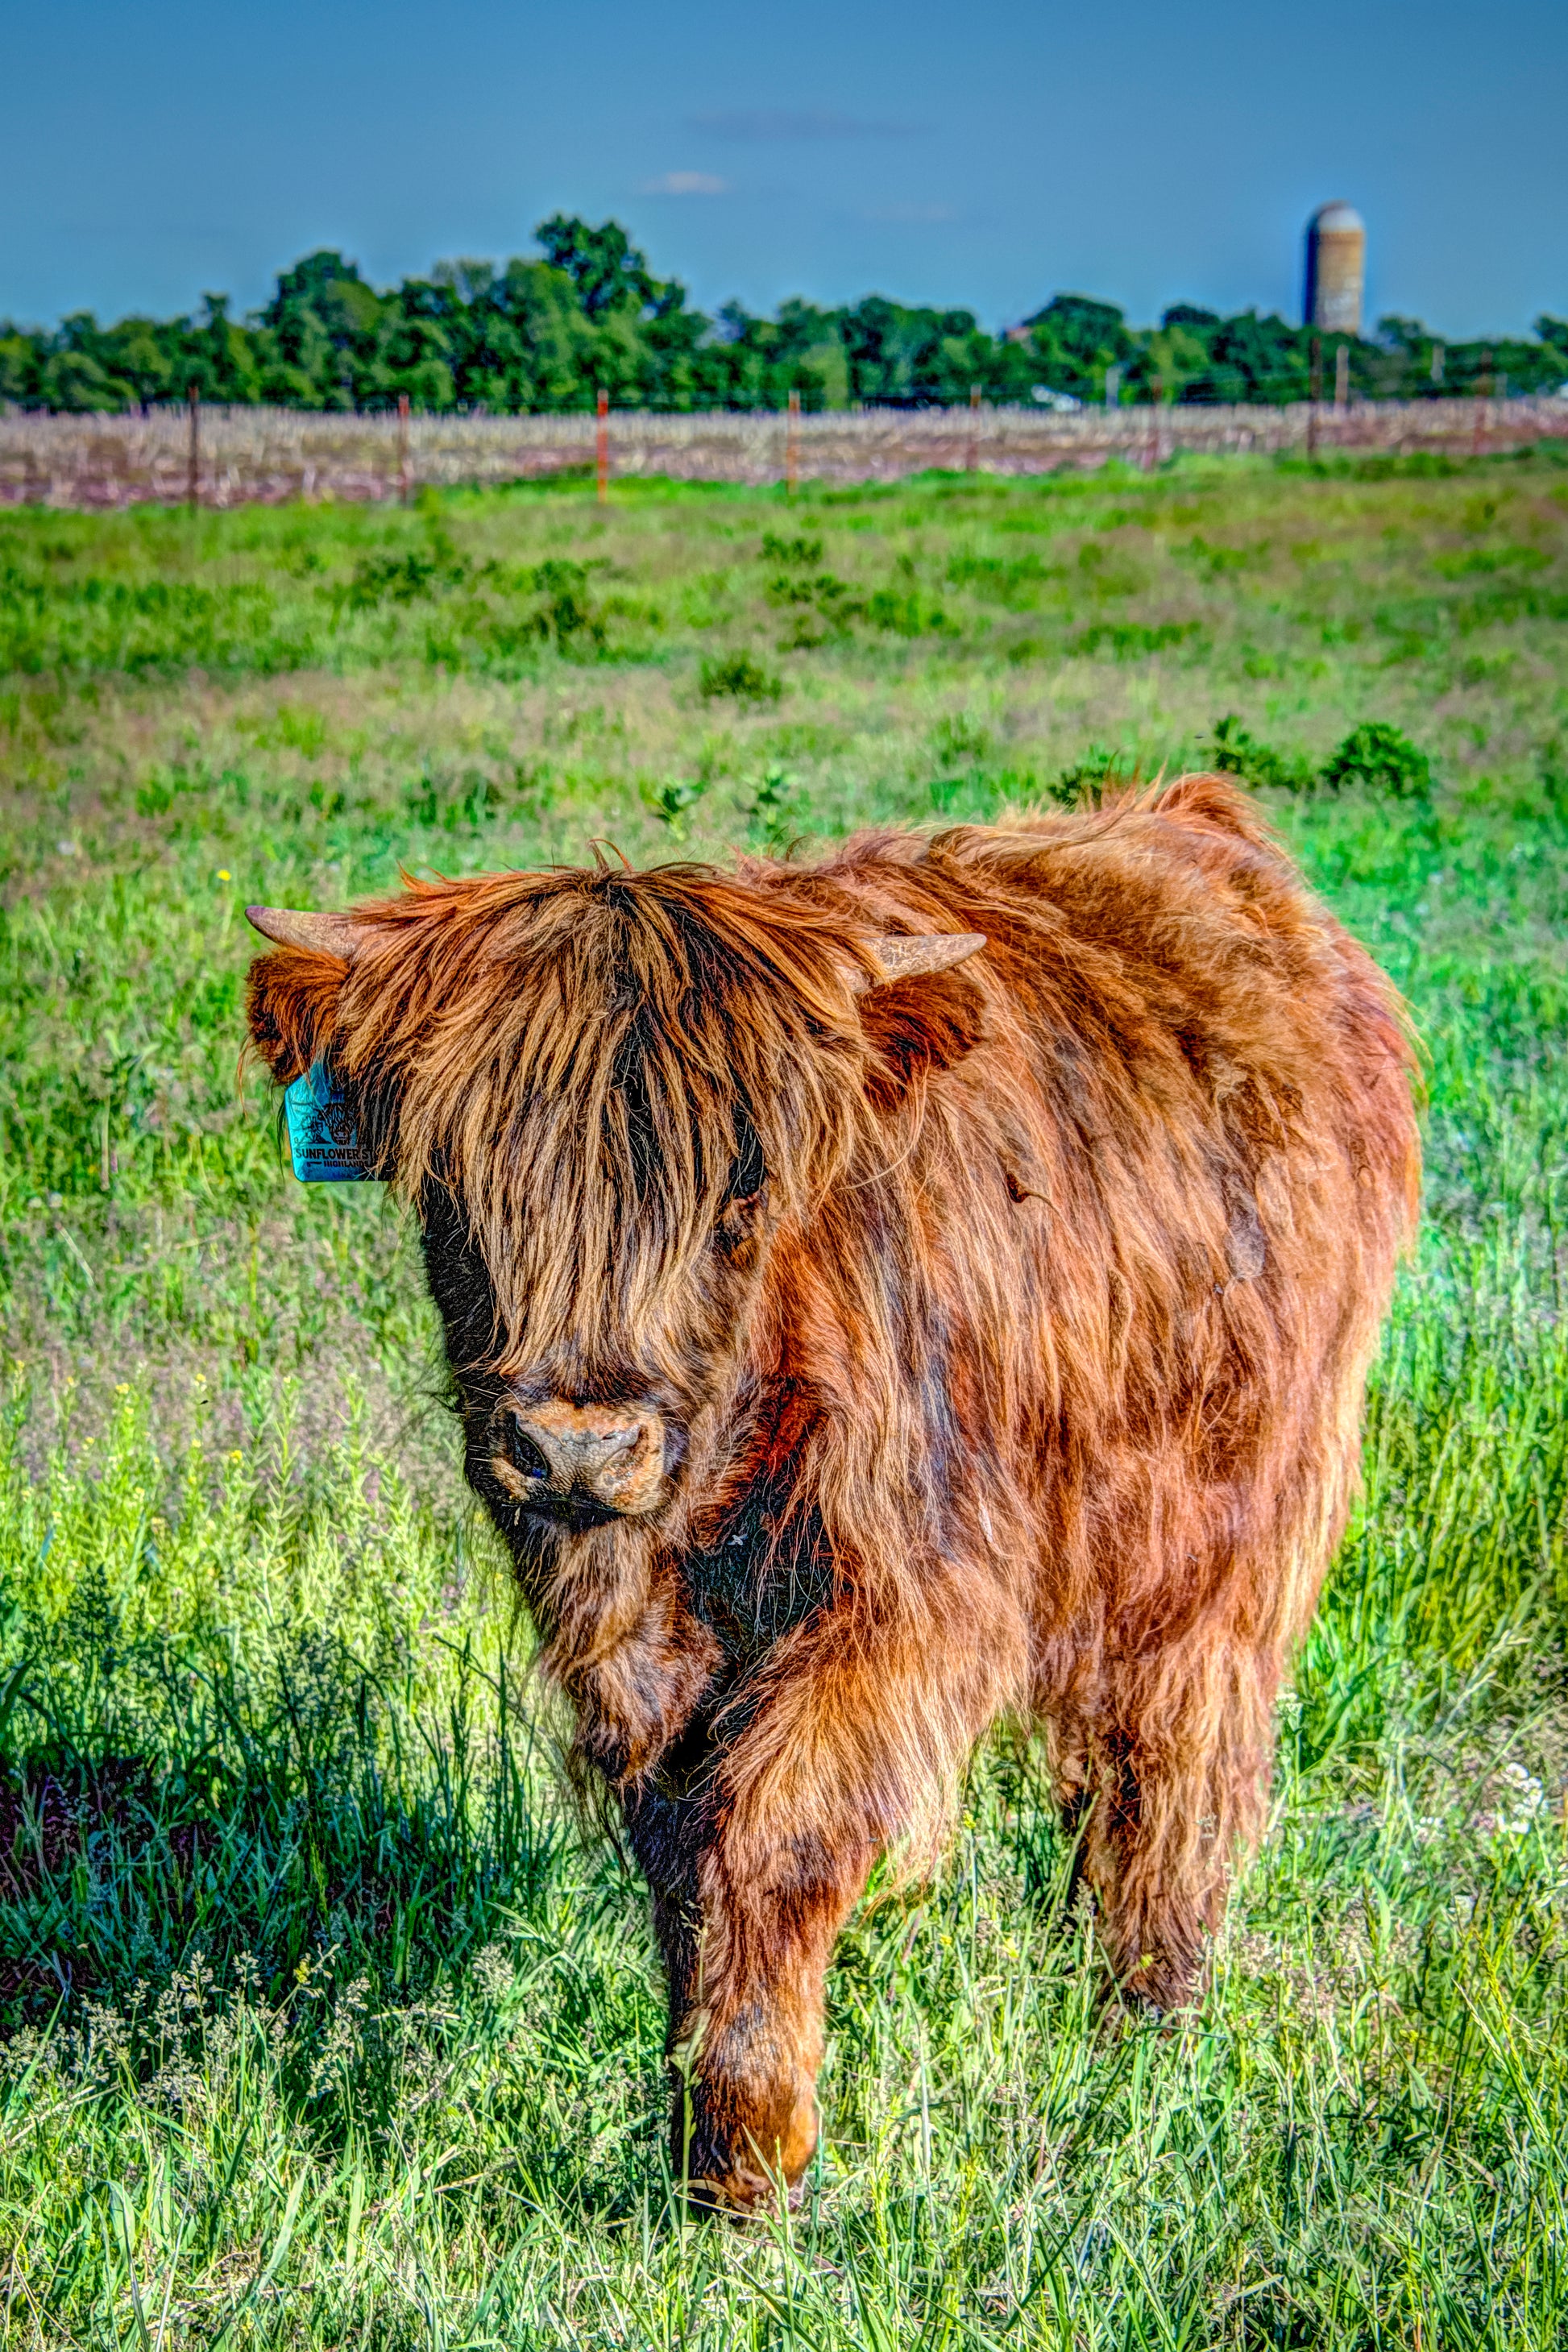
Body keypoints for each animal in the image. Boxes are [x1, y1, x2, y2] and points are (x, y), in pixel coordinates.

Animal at [244, 773, 1419, 2211]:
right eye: (459, 1192)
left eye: (740, 1194)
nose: (578, 1450)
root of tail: (1203, 821)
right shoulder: (634, 1636)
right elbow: (681, 1840)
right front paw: (693, 2110)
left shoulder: (915, 1594)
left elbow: (776, 1826)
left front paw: (748, 2155)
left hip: (1234, 1509)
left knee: (1176, 1750)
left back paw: (1146, 2015)